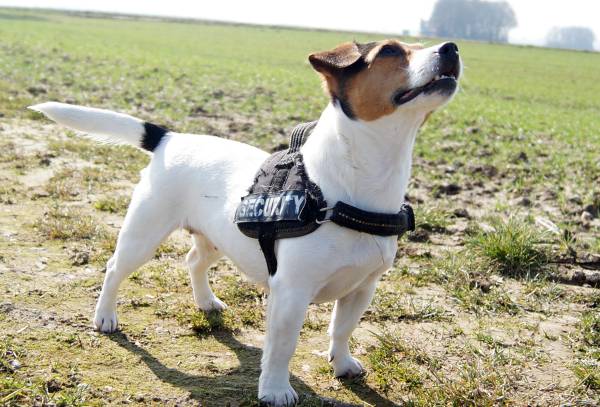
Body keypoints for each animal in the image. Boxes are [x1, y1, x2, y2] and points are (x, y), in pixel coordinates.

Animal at [30, 39, 461, 406]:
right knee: (114, 268)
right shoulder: (291, 292)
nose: (451, 48)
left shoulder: (362, 287)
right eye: (390, 51)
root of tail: (169, 138)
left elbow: (342, 329)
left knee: (193, 261)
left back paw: (206, 302)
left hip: (219, 238)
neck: (350, 185)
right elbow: (282, 346)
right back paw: (105, 315)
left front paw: (341, 364)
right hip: (144, 234)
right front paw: (275, 390)